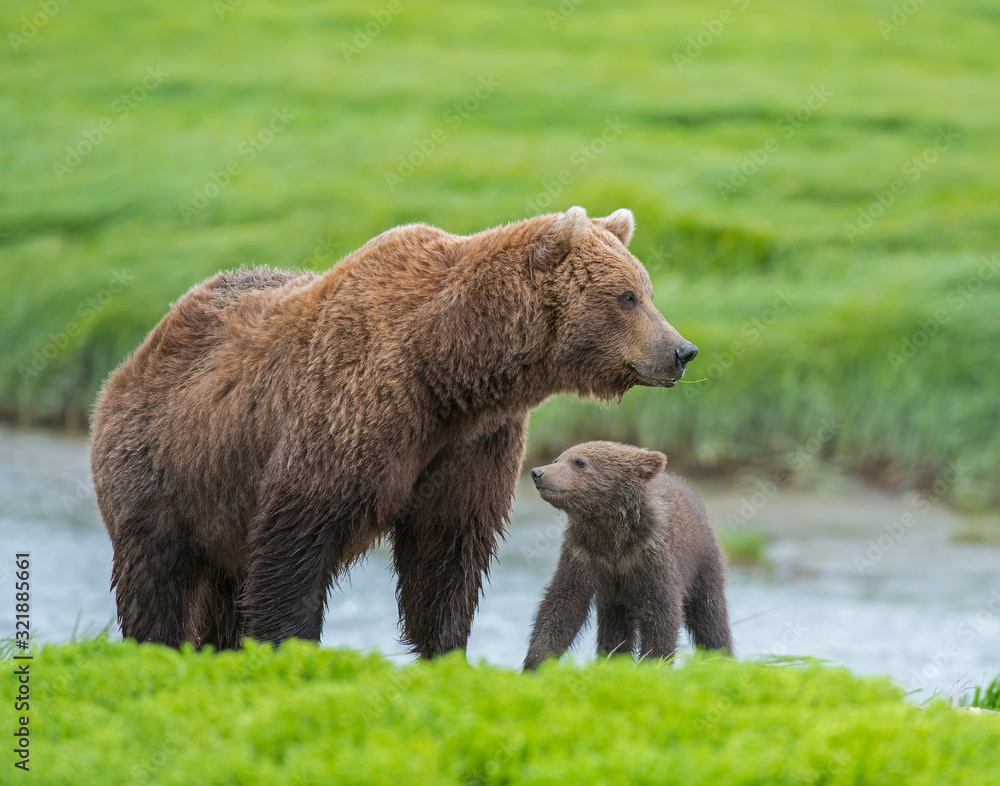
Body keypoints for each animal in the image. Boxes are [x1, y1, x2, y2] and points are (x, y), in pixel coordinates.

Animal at [89, 206, 700, 657]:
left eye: (646, 289)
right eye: (627, 295)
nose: (681, 351)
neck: (448, 371)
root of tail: (141, 347)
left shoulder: (470, 445)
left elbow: (446, 555)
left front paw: (446, 650)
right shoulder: (349, 415)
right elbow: (296, 543)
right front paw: (289, 644)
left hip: (217, 500)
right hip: (163, 471)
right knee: (155, 578)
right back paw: (157, 645)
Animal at [523, 441, 733, 670]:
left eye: (579, 462)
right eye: (557, 459)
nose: (538, 472)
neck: (613, 534)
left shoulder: (651, 553)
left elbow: (661, 608)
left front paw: (653, 662)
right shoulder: (583, 554)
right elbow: (563, 603)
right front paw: (535, 662)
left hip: (702, 562)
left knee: (709, 614)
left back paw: (721, 657)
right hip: (614, 597)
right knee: (615, 625)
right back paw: (610, 658)